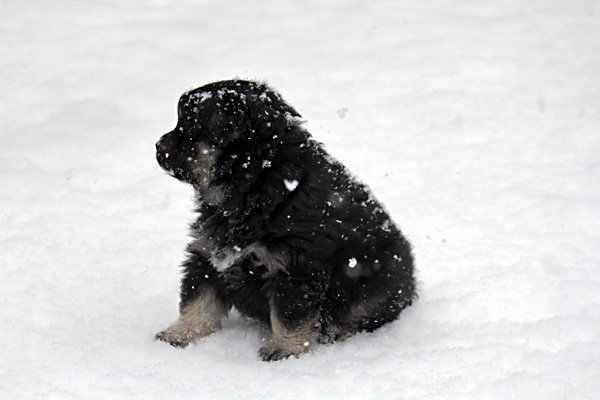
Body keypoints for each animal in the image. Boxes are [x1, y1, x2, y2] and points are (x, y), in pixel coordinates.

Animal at [155, 80, 416, 361]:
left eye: (187, 129)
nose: (157, 145)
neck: (257, 181)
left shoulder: (294, 265)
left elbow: (289, 315)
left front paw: (283, 349)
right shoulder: (208, 252)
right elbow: (198, 300)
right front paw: (179, 334)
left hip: (376, 278)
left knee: (364, 312)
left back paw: (338, 333)